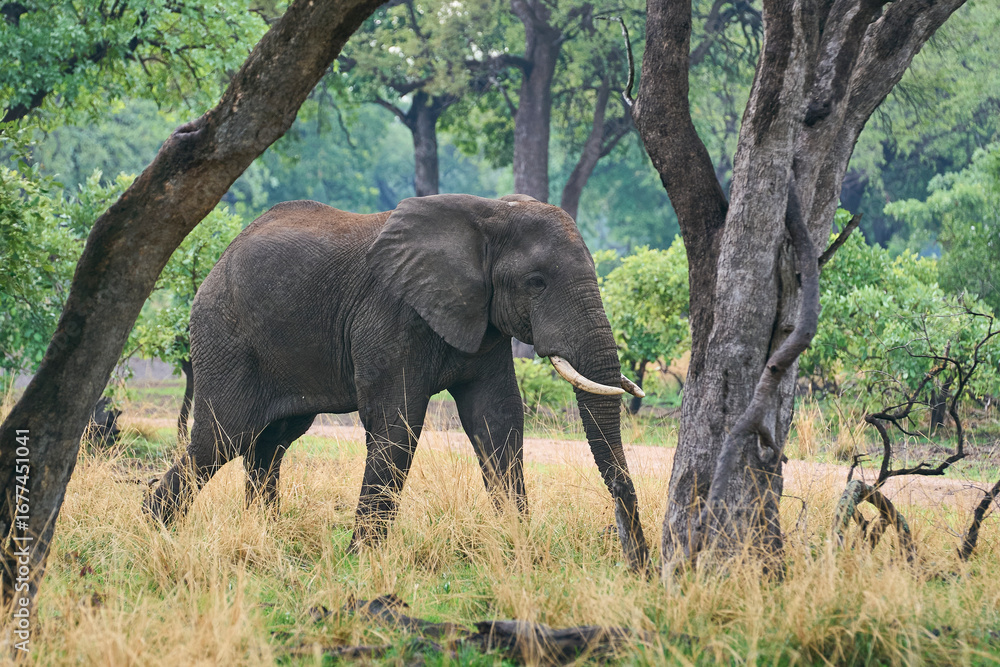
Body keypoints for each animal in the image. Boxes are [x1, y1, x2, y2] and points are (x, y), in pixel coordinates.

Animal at [143, 193, 648, 570]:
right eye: (536, 282)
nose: (637, 560)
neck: (488, 214)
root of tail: (220, 259)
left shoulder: (483, 320)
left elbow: (498, 420)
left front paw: (519, 546)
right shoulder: (390, 315)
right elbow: (397, 423)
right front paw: (363, 560)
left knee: (271, 442)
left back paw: (265, 536)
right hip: (225, 336)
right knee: (224, 435)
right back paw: (155, 525)